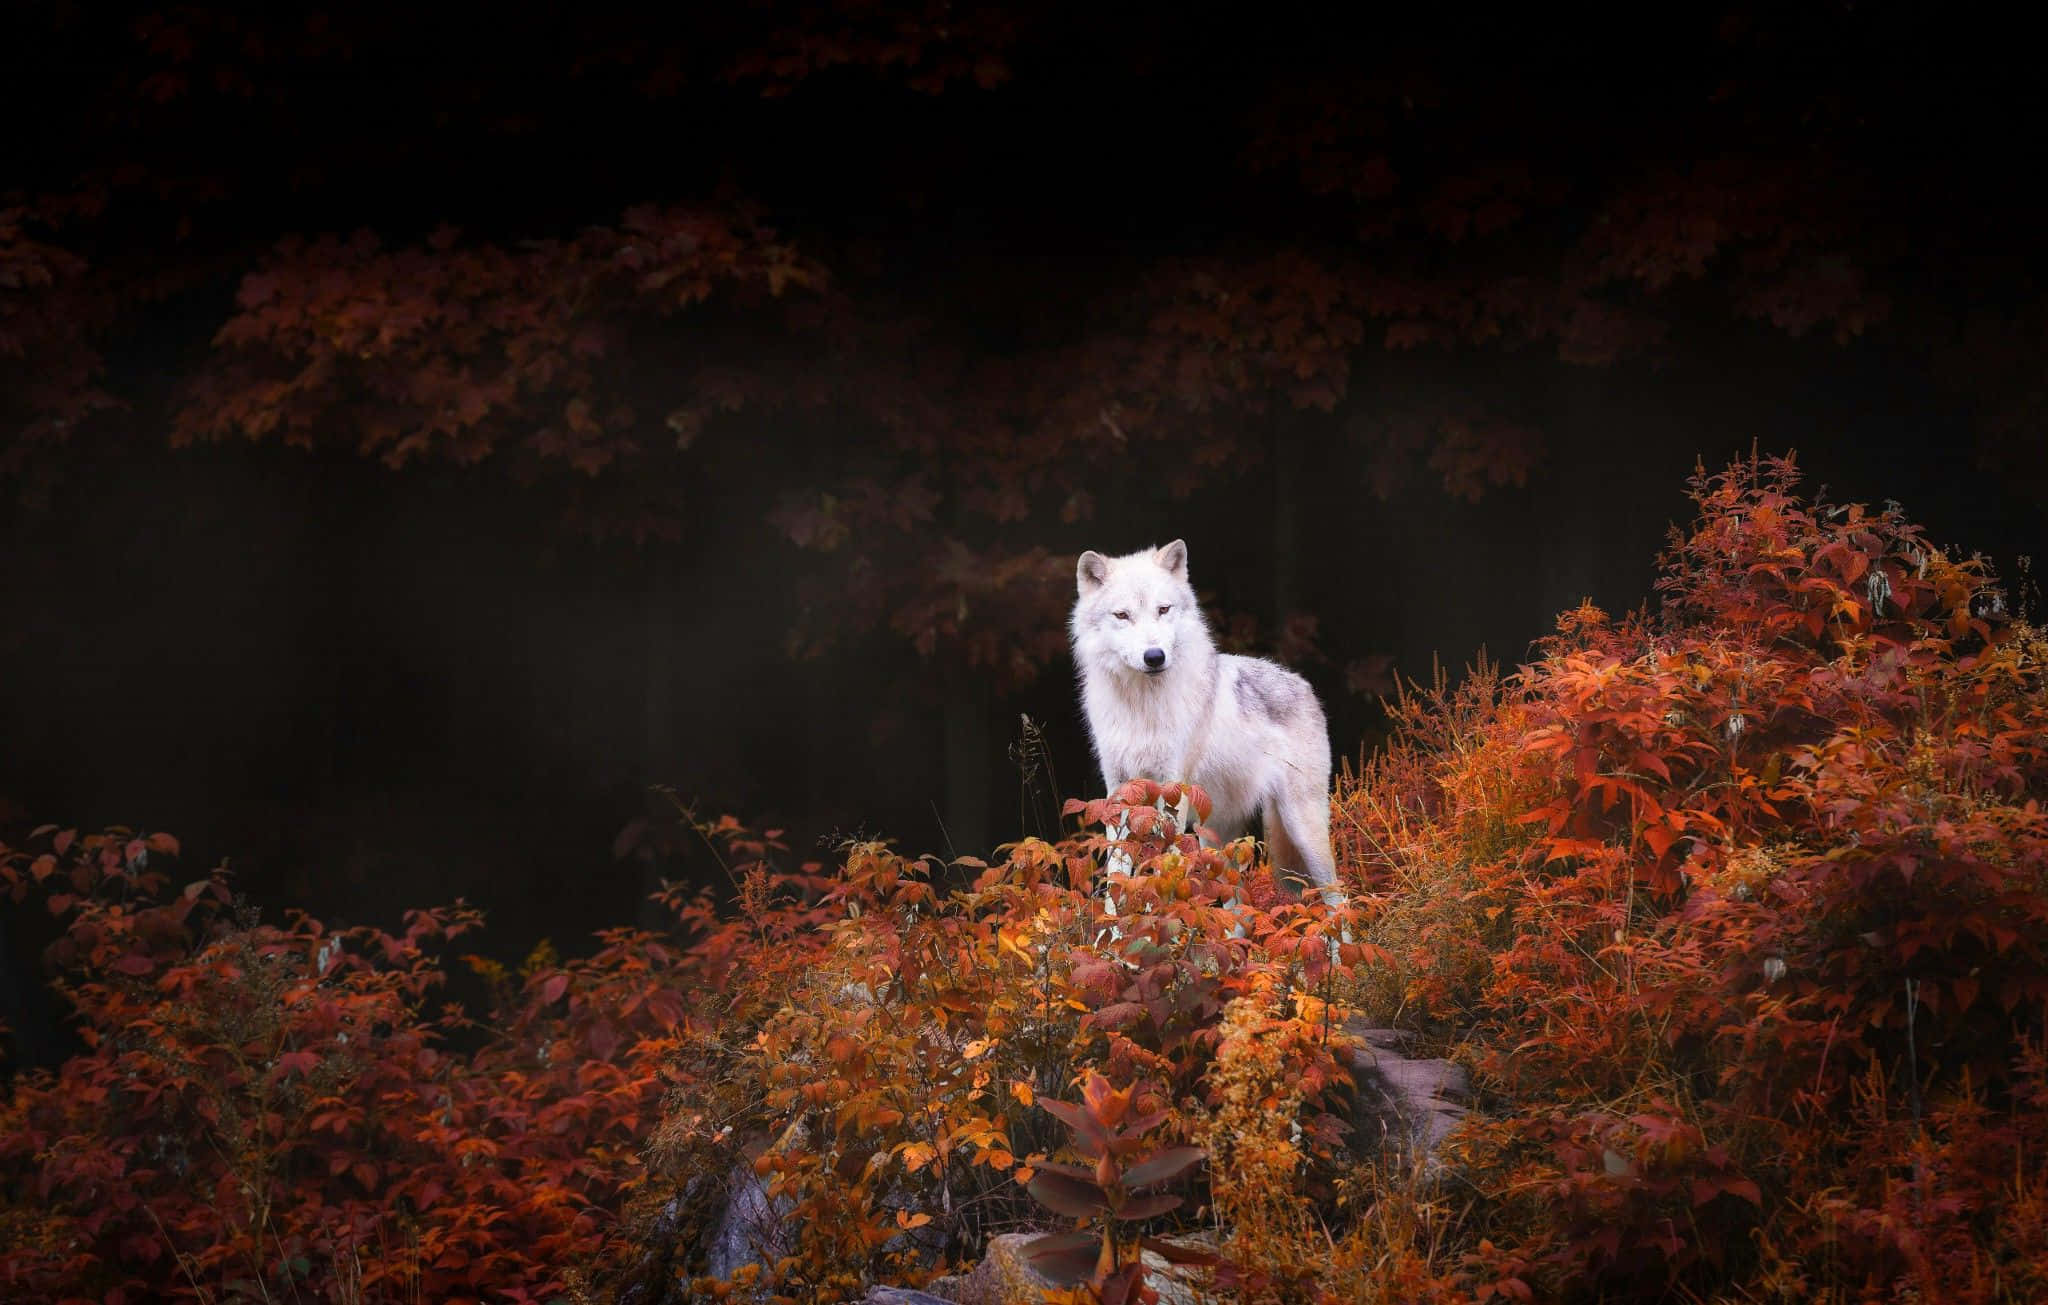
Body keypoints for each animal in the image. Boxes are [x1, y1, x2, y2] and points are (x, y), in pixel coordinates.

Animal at [1070, 538, 1339, 899]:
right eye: (1122, 615)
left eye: (1163, 610)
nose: (1154, 657)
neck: (1143, 706)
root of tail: (1303, 684)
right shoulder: (1119, 791)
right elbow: (1117, 872)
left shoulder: (1173, 790)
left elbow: (1163, 867)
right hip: (1219, 839)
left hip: (1301, 829)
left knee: (1340, 897)